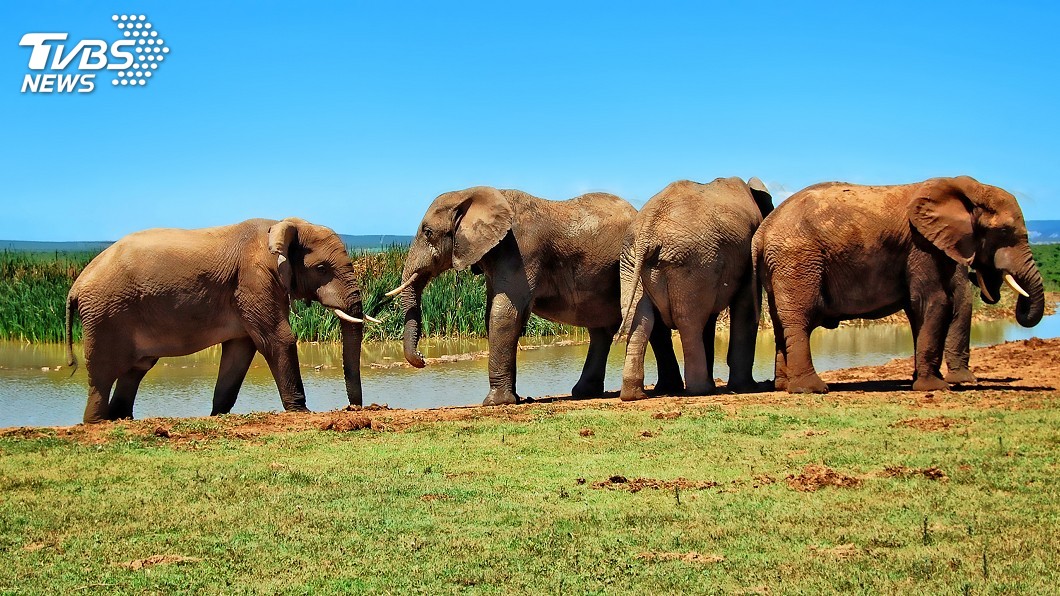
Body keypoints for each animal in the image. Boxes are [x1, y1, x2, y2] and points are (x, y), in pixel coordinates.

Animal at [65, 217, 368, 423]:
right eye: (322, 268)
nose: (354, 408)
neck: (280, 225)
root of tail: (76, 285)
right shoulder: (254, 280)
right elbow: (278, 339)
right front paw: (302, 411)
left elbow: (239, 351)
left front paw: (218, 414)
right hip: (106, 315)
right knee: (103, 376)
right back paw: (97, 422)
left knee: (135, 370)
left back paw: (121, 419)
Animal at [389, 186, 683, 406]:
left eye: (428, 232)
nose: (423, 359)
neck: (473, 193)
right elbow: (493, 313)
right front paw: (513, 399)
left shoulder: (521, 250)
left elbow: (504, 314)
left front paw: (495, 403)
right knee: (601, 329)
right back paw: (588, 392)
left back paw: (664, 389)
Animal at [619, 177, 774, 400]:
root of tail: (648, 232)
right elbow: (744, 308)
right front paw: (747, 388)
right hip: (692, 261)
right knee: (689, 321)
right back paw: (701, 390)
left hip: (632, 263)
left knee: (638, 319)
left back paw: (634, 395)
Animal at [753, 176, 1044, 394]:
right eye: (1004, 232)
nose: (984, 278)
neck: (963, 188)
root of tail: (762, 232)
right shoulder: (922, 246)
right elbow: (935, 301)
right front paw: (934, 387)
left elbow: (920, 310)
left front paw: (927, 381)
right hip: (798, 261)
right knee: (799, 320)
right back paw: (812, 389)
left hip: (782, 265)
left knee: (780, 323)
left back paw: (784, 386)